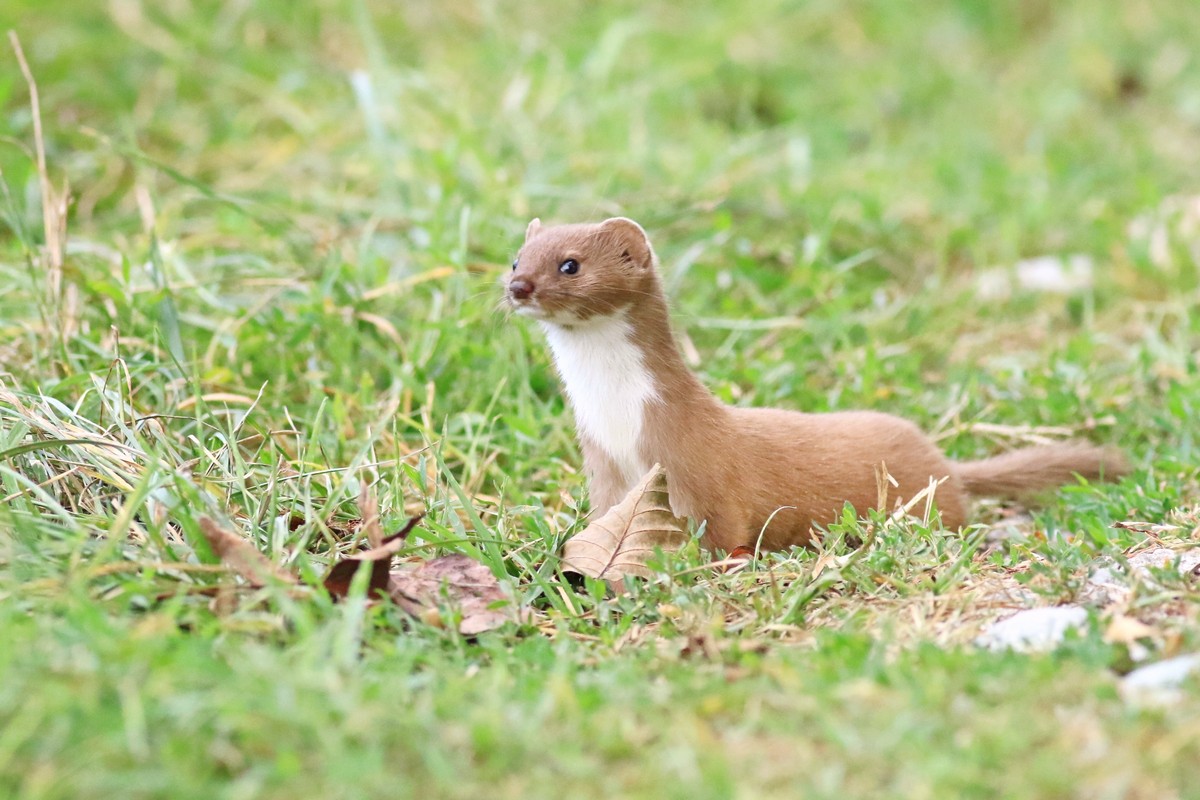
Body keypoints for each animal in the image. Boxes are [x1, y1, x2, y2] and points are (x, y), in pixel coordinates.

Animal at [501, 219, 1128, 556]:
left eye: (570, 264)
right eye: (516, 257)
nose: (518, 286)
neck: (618, 418)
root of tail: (945, 464)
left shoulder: (699, 468)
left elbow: (724, 526)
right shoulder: (603, 466)